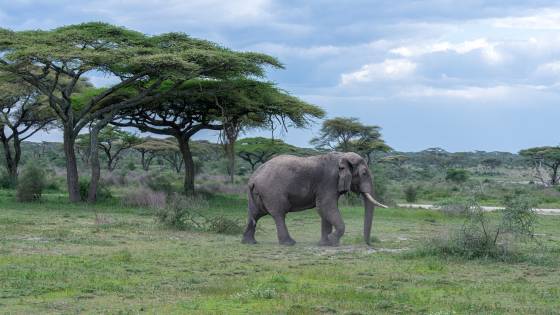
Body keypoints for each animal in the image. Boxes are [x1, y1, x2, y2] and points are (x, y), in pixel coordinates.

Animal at [241, 151, 390, 247]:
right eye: (364, 173)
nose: (369, 244)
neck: (342, 156)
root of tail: (253, 178)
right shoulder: (329, 180)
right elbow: (325, 206)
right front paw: (332, 240)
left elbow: (325, 210)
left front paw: (326, 244)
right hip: (272, 191)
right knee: (279, 214)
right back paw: (289, 243)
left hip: (257, 194)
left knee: (255, 214)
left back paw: (249, 243)